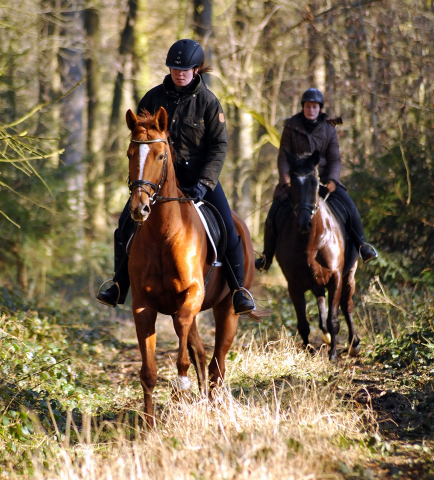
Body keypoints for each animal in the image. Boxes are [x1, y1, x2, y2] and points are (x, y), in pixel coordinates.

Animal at [124, 107, 256, 426]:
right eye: (130, 153)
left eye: (161, 155)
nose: (139, 208)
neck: (163, 233)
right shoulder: (143, 305)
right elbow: (149, 372)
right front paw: (149, 427)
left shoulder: (192, 295)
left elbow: (185, 349)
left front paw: (181, 384)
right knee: (203, 353)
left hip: (227, 310)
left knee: (217, 363)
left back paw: (214, 406)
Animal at [274, 150, 360, 360]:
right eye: (293, 183)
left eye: (315, 182)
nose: (304, 223)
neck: (311, 241)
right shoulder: (294, 285)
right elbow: (303, 324)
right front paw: (307, 350)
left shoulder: (336, 278)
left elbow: (334, 319)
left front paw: (333, 355)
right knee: (321, 299)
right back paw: (326, 337)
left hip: (348, 275)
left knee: (347, 305)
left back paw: (353, 344)